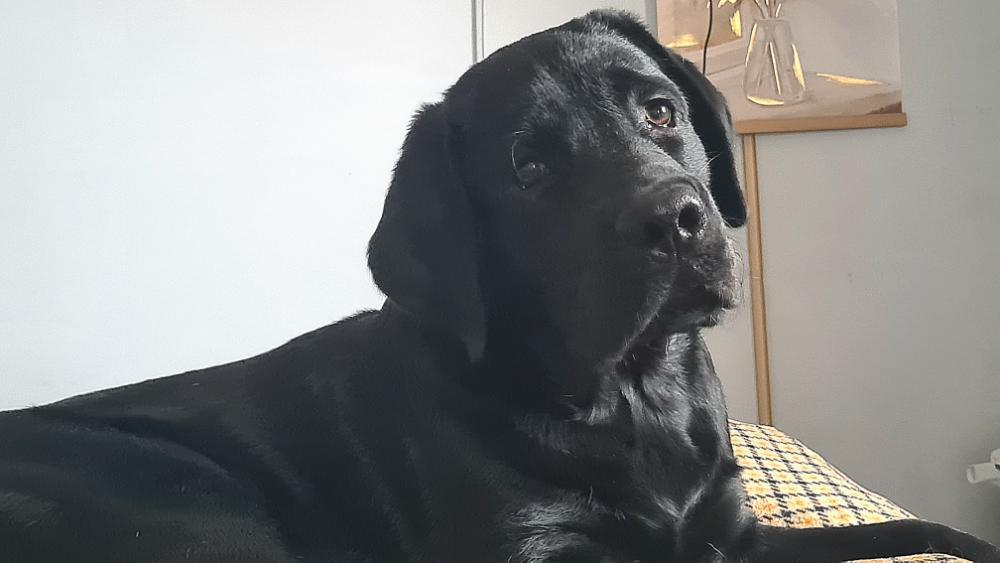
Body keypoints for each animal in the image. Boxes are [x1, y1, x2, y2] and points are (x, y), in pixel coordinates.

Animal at [1, 10, 997, 562]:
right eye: (529, 167)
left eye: (660, 111)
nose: (676, 218)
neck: (636, 397)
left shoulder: (731, 530)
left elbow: (918, 532)